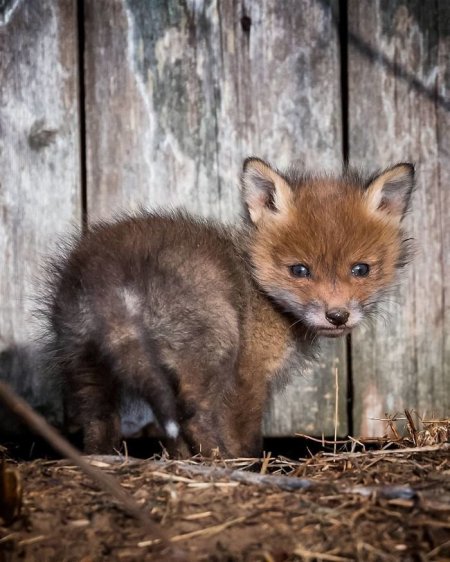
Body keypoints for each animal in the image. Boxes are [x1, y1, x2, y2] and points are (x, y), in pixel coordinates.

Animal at [41, 156, 414, 456]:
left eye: (361, 269)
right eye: (299, 270)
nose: (337, 316)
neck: (257, 289)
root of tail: (113, 269)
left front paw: (180, 461)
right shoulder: (246, 375)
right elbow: (244, 435)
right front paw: (246, 462)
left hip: (84, 363)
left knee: (100, 421)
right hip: (215, 347)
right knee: (192, 416)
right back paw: (221, 462)